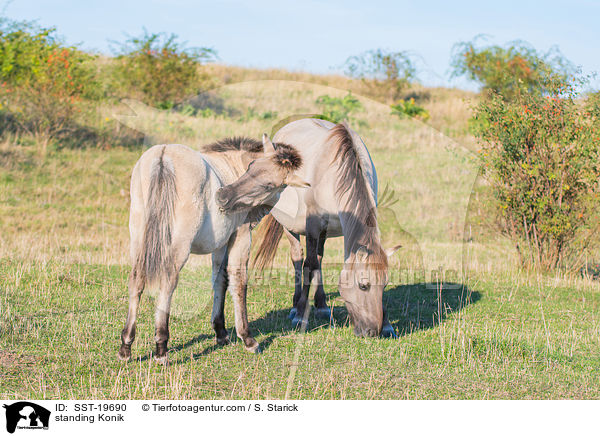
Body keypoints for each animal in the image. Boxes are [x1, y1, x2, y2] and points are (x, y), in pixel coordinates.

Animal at [116, 135, 310, 362]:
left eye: (269, 185)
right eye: (251, 166)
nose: (223, 196)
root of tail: (163, 156)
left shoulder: (221, 245)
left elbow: (220, 280)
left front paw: (221, 332)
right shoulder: (240, 236)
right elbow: (238, 281)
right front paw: (247, 338)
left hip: (139, 238)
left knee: (136, 280)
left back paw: (126, 346)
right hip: (179, 244)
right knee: (168, 282)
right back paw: (161, 348)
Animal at [218, 119, 400, 338]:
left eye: (385, 284)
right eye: (363, 286)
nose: (372, 331)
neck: (335, 175)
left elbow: (317, 263)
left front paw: (388, 324)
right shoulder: (312, 227)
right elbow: (308, 265)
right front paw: (300, 314)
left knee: (318, 259)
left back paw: (321, 305)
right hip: (292, 228)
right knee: (299, 258)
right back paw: (296, 305)